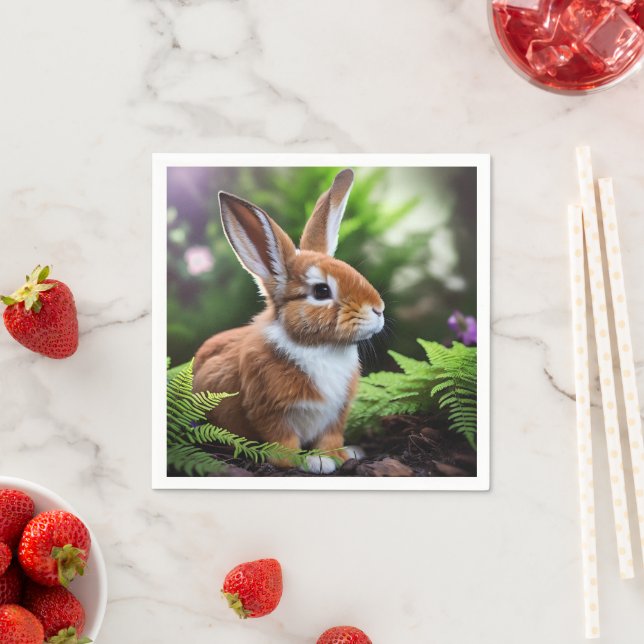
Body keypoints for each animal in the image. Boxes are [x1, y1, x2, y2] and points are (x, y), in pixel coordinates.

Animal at [193, 169, 385, 474]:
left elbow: (331, 437)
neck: (318, 348)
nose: (378, 309)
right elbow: (283, 443)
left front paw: (342, 456)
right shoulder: (269, 409)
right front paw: (310, 462)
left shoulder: (337, 414)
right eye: (321, 291)